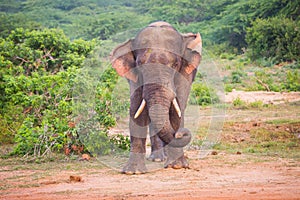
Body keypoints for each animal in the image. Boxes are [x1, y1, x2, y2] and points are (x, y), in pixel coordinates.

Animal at [110, 21, 202, 173]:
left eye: (175, 64)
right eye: (139, 64)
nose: (179, 134)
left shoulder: (185, 74)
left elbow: (177, 109)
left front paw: (177, 166)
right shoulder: (134, 77)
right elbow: (136, 110)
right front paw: (132, 172)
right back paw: (158, 158)